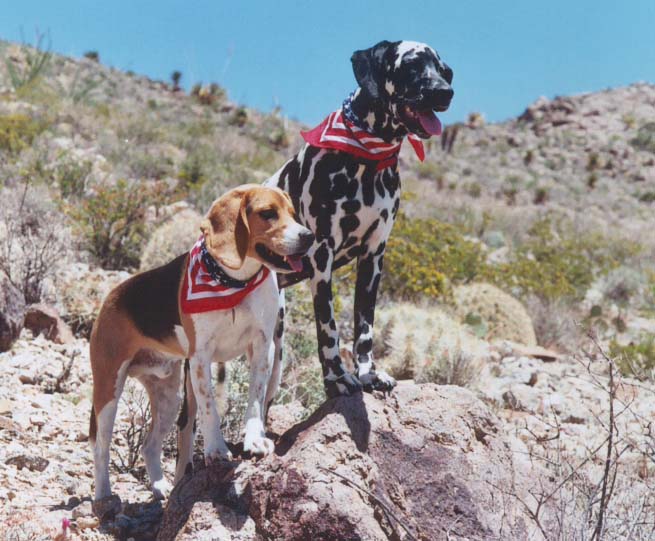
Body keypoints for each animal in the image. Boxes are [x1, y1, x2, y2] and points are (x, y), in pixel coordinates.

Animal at [88, 184, 314, 500]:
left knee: (149, 445)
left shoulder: (263, 347)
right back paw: (104, 496)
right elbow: (209, 408)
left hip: (169, 396)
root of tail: (111, 296)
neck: (234, 282)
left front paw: (255, 440)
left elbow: (256, 400)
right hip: (109, 390)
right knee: (101, 448)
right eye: (267, 213)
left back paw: (160, 487)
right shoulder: (200, 357)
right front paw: (216, 449)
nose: (308, 236)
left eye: (294, 214)